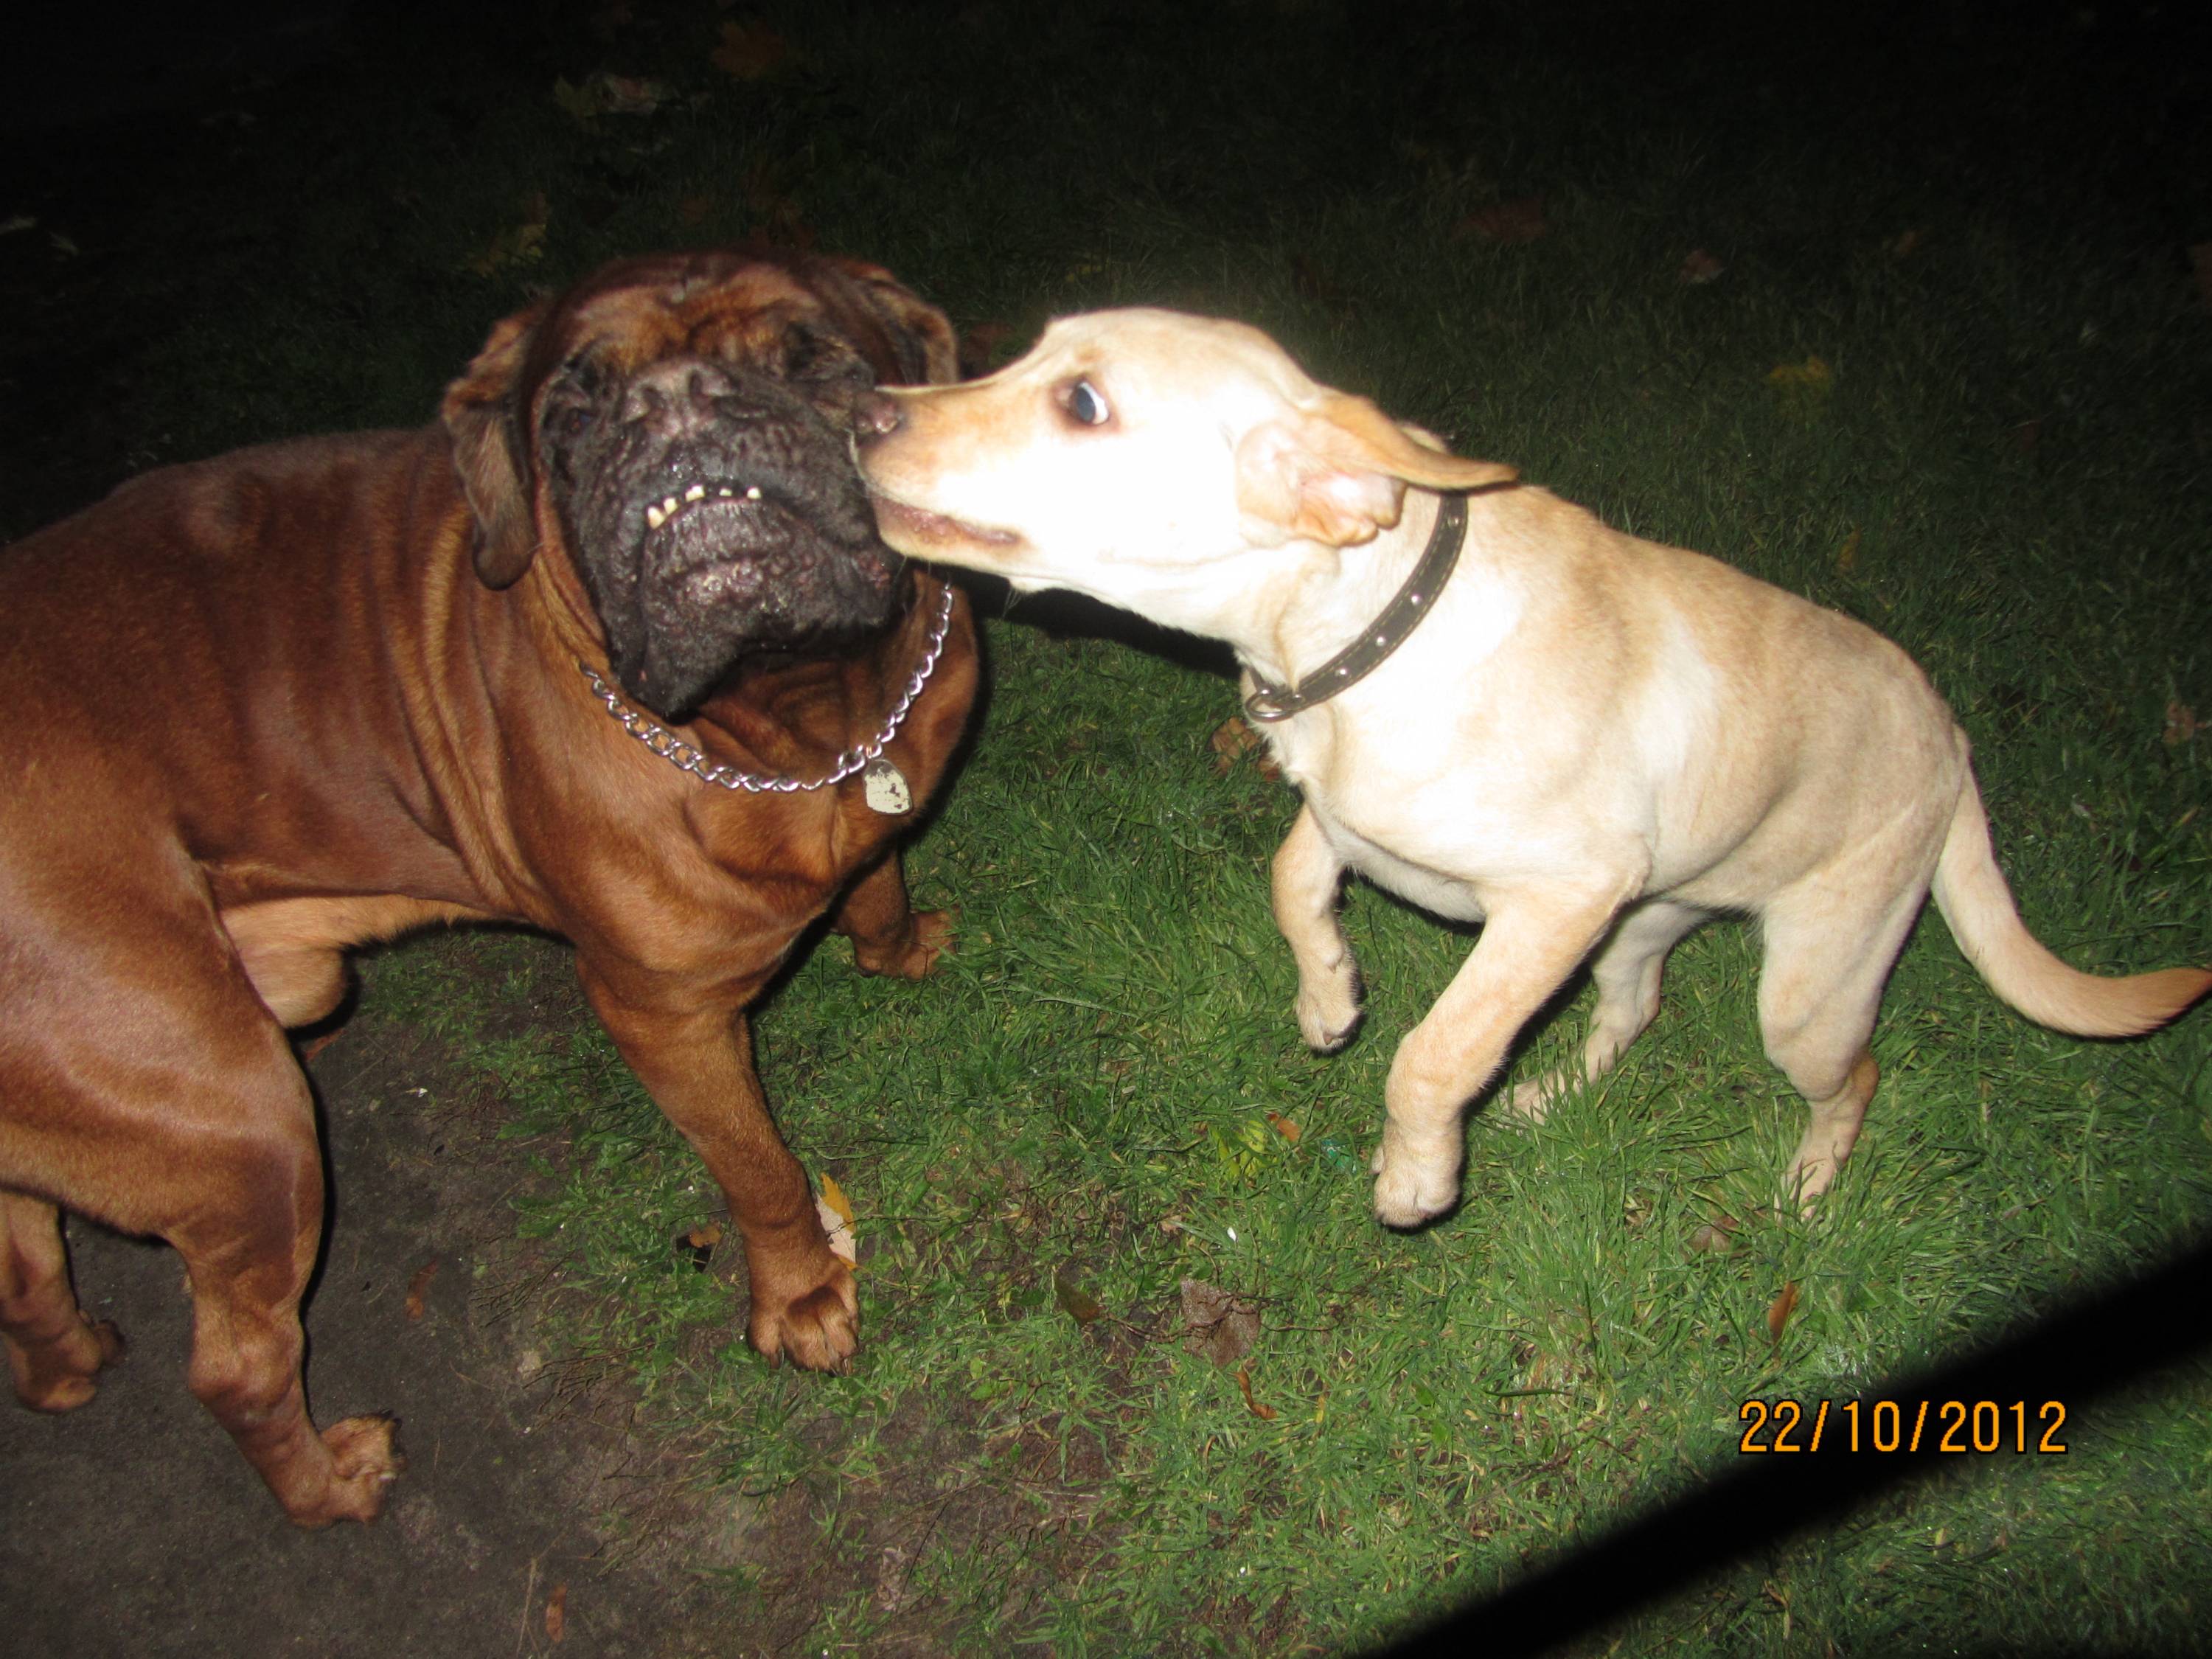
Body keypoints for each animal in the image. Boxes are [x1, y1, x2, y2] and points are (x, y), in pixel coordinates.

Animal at [0, 249, 977, 1526]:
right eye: (570, 413)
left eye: (817, 359)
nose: (674, 403)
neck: (804, 710)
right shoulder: (668, 1019)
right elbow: (760, 1167)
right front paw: (802, 1295)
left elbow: (878, 875)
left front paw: (896, 948)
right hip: (245, 1120)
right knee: (237, 1366)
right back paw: (335, 1480)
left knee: (25, 1254)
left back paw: (68, 1363)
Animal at [857, 306, 2207, 1230]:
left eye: (1082, 403)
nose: (865, 411)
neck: (1360, 634)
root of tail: (1951, 734)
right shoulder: (1371, 832)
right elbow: (1294, 883)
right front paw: (1328, 997)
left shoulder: (1551, 900)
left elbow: (1436, 1051)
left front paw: (1415, 1176)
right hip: (1645, 918)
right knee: (1635, 1008)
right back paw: (1557, 1095)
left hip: (1808, 989)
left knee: (1852, 1077)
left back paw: (1813, 1184)